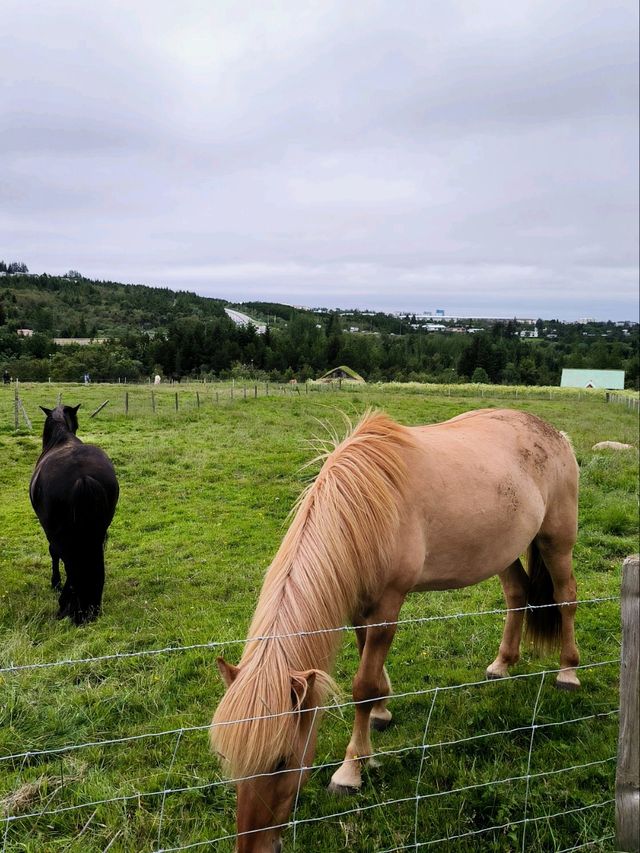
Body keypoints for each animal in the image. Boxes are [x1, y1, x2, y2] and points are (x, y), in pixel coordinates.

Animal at [28, 402, 119, 624]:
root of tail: (83, 475)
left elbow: (54, 554)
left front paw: (55, 583)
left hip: (58, 531)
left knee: (68, 558)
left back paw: (66, 605)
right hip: (98, 528)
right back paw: (90, 606)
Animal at [212, 410, 584, 848]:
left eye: (282, 761)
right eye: (229, 758)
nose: (252, 847)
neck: (366, 504)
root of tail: (554, 432)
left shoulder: (388, 606)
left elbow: (362, 686)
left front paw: (350, 771)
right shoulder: (359, 607)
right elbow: (368, 673)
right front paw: (381, 715)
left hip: (556, 541)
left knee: (566, 598)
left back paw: (568, 672)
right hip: (504, 549)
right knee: (517, 594)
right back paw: (502, 664)